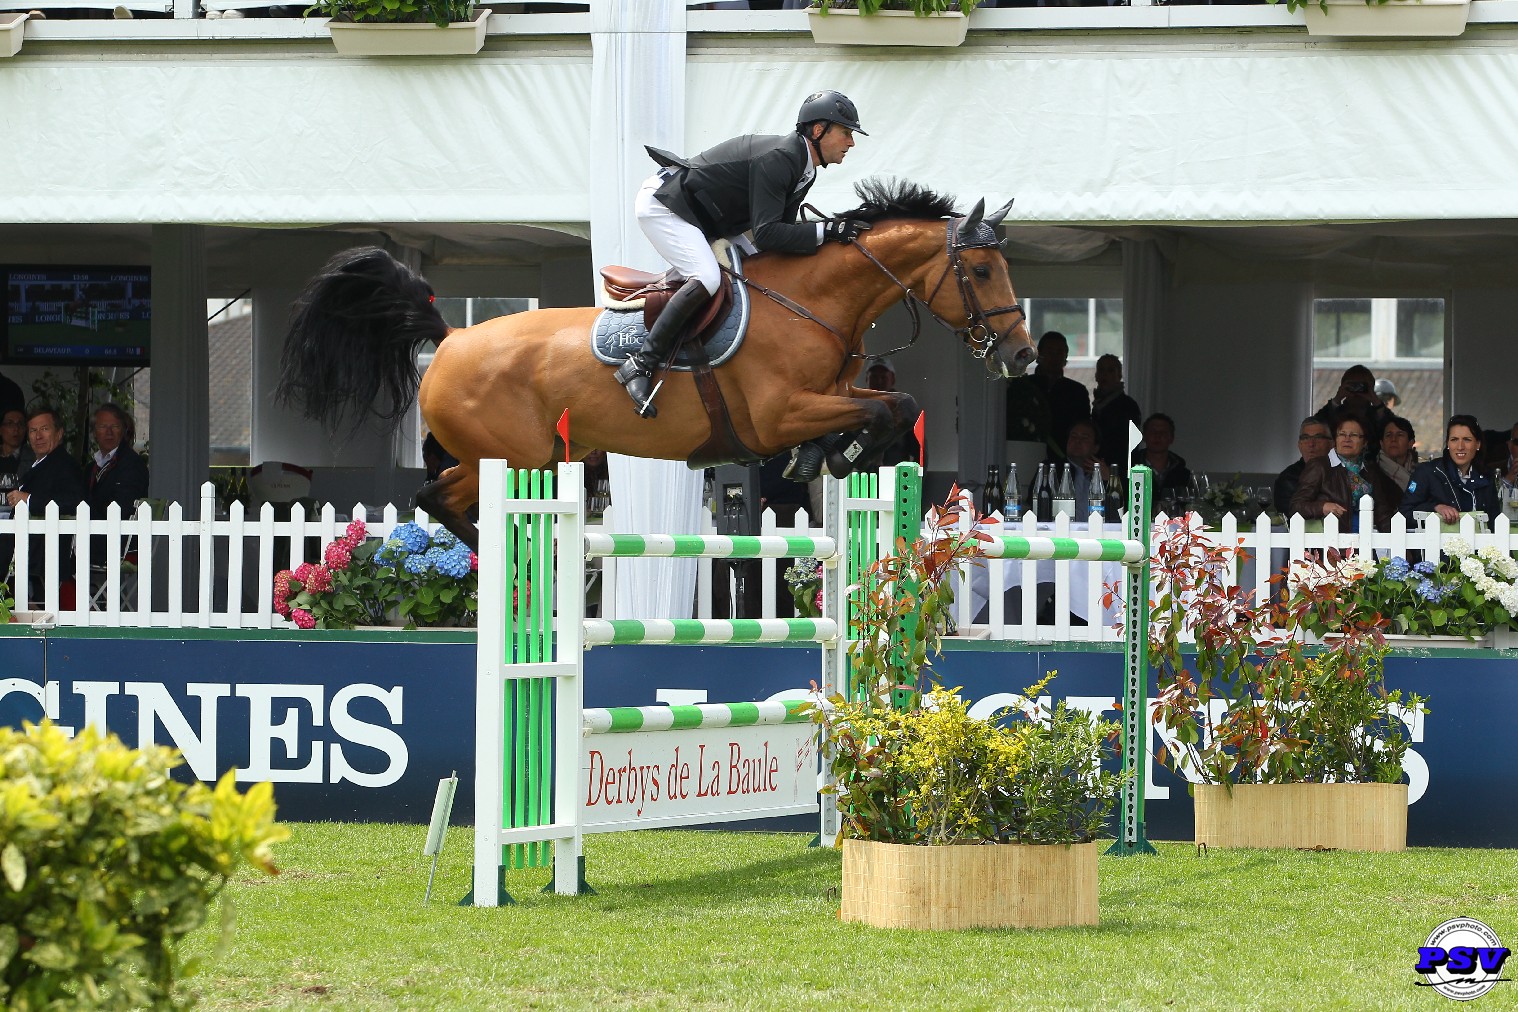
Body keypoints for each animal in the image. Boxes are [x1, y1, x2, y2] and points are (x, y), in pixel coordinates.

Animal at [276, 178, 1032, 549]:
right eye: (983, 271)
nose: (1022, 355)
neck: (813, 298)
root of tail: (450, 339)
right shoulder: (778, 414)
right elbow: (888, 409)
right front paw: (832, 453)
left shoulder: (829, 395)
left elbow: (894, 407)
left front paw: (830, 456)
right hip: (517, 457)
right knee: (441, 498)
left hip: (527, 456)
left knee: (438, 494)